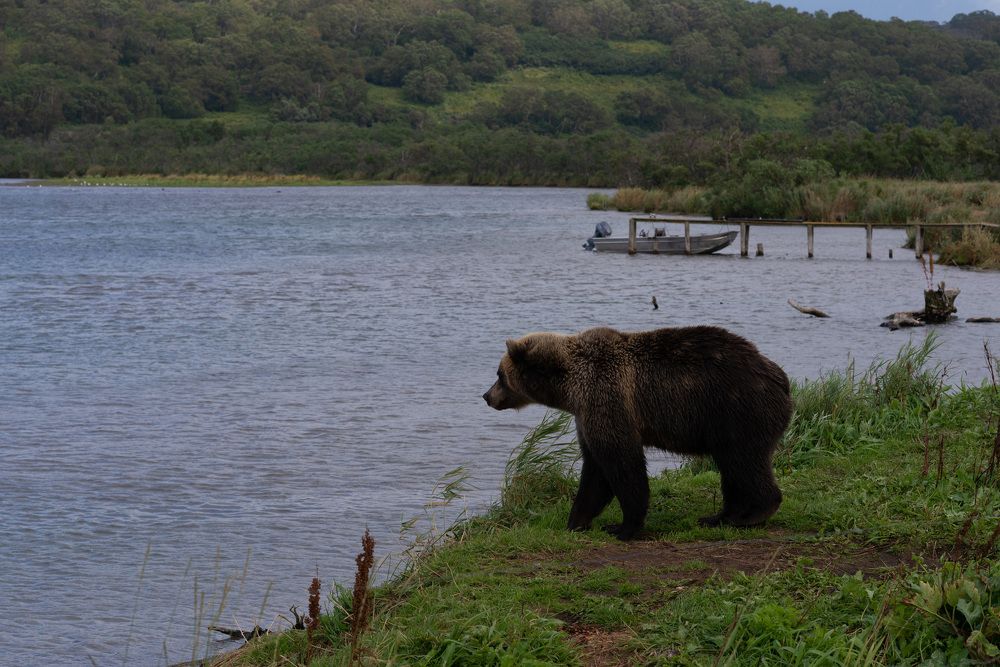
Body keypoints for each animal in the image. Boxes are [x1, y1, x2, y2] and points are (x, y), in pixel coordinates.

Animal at [483, 325, 792, 540]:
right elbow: (595, 469)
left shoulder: (606, 399)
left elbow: (621, 464)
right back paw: (720, 516)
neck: (568, 386)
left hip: (737, 410)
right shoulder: (586, 415)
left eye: (499, 374)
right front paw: (577, 521)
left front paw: (623, 527)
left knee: (744, 463)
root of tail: (780, 377)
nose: (487, 396)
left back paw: (753, 514)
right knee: (731, 468)